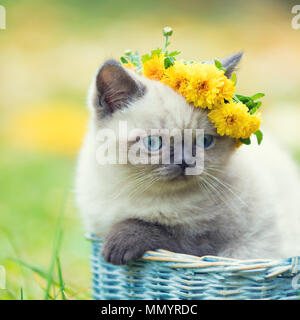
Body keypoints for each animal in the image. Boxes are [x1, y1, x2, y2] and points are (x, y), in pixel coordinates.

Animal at [75, 53, 300, 264]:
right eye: (153, 143)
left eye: (204, 141)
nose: (185, 162)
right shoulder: (98, 224)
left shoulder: (210, 240)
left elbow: (162, 231)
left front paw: (116, 246)